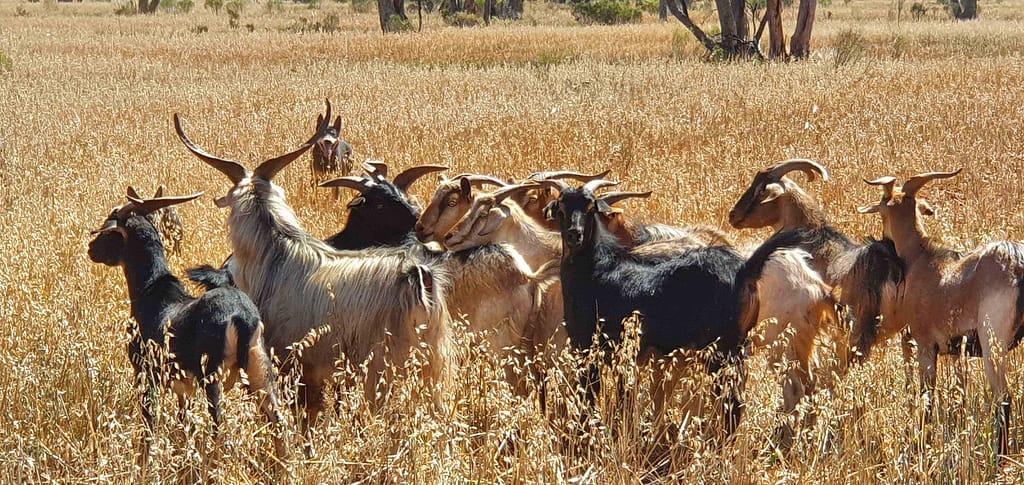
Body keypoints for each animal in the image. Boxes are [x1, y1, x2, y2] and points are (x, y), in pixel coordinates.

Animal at [86, 188, 286, 466]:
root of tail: (243, 318)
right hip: (260, 368)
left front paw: (144, 462)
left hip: (212, 375)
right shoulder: (184, 387)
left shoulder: (146, 373)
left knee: (219, 425)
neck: (152, 292)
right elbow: (184, 422)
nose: (91, 248)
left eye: (110, 230)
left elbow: (150, 422)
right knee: (278, 420)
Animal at [856, 168, 1024, 456]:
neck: (922, 262)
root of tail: (1018, 265)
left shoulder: (925, 345)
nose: (883, 240)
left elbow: (927, 397)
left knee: (1004, 398)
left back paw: (1000, 456)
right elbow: (959, 394)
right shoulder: (957, 351)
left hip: (993, 344)